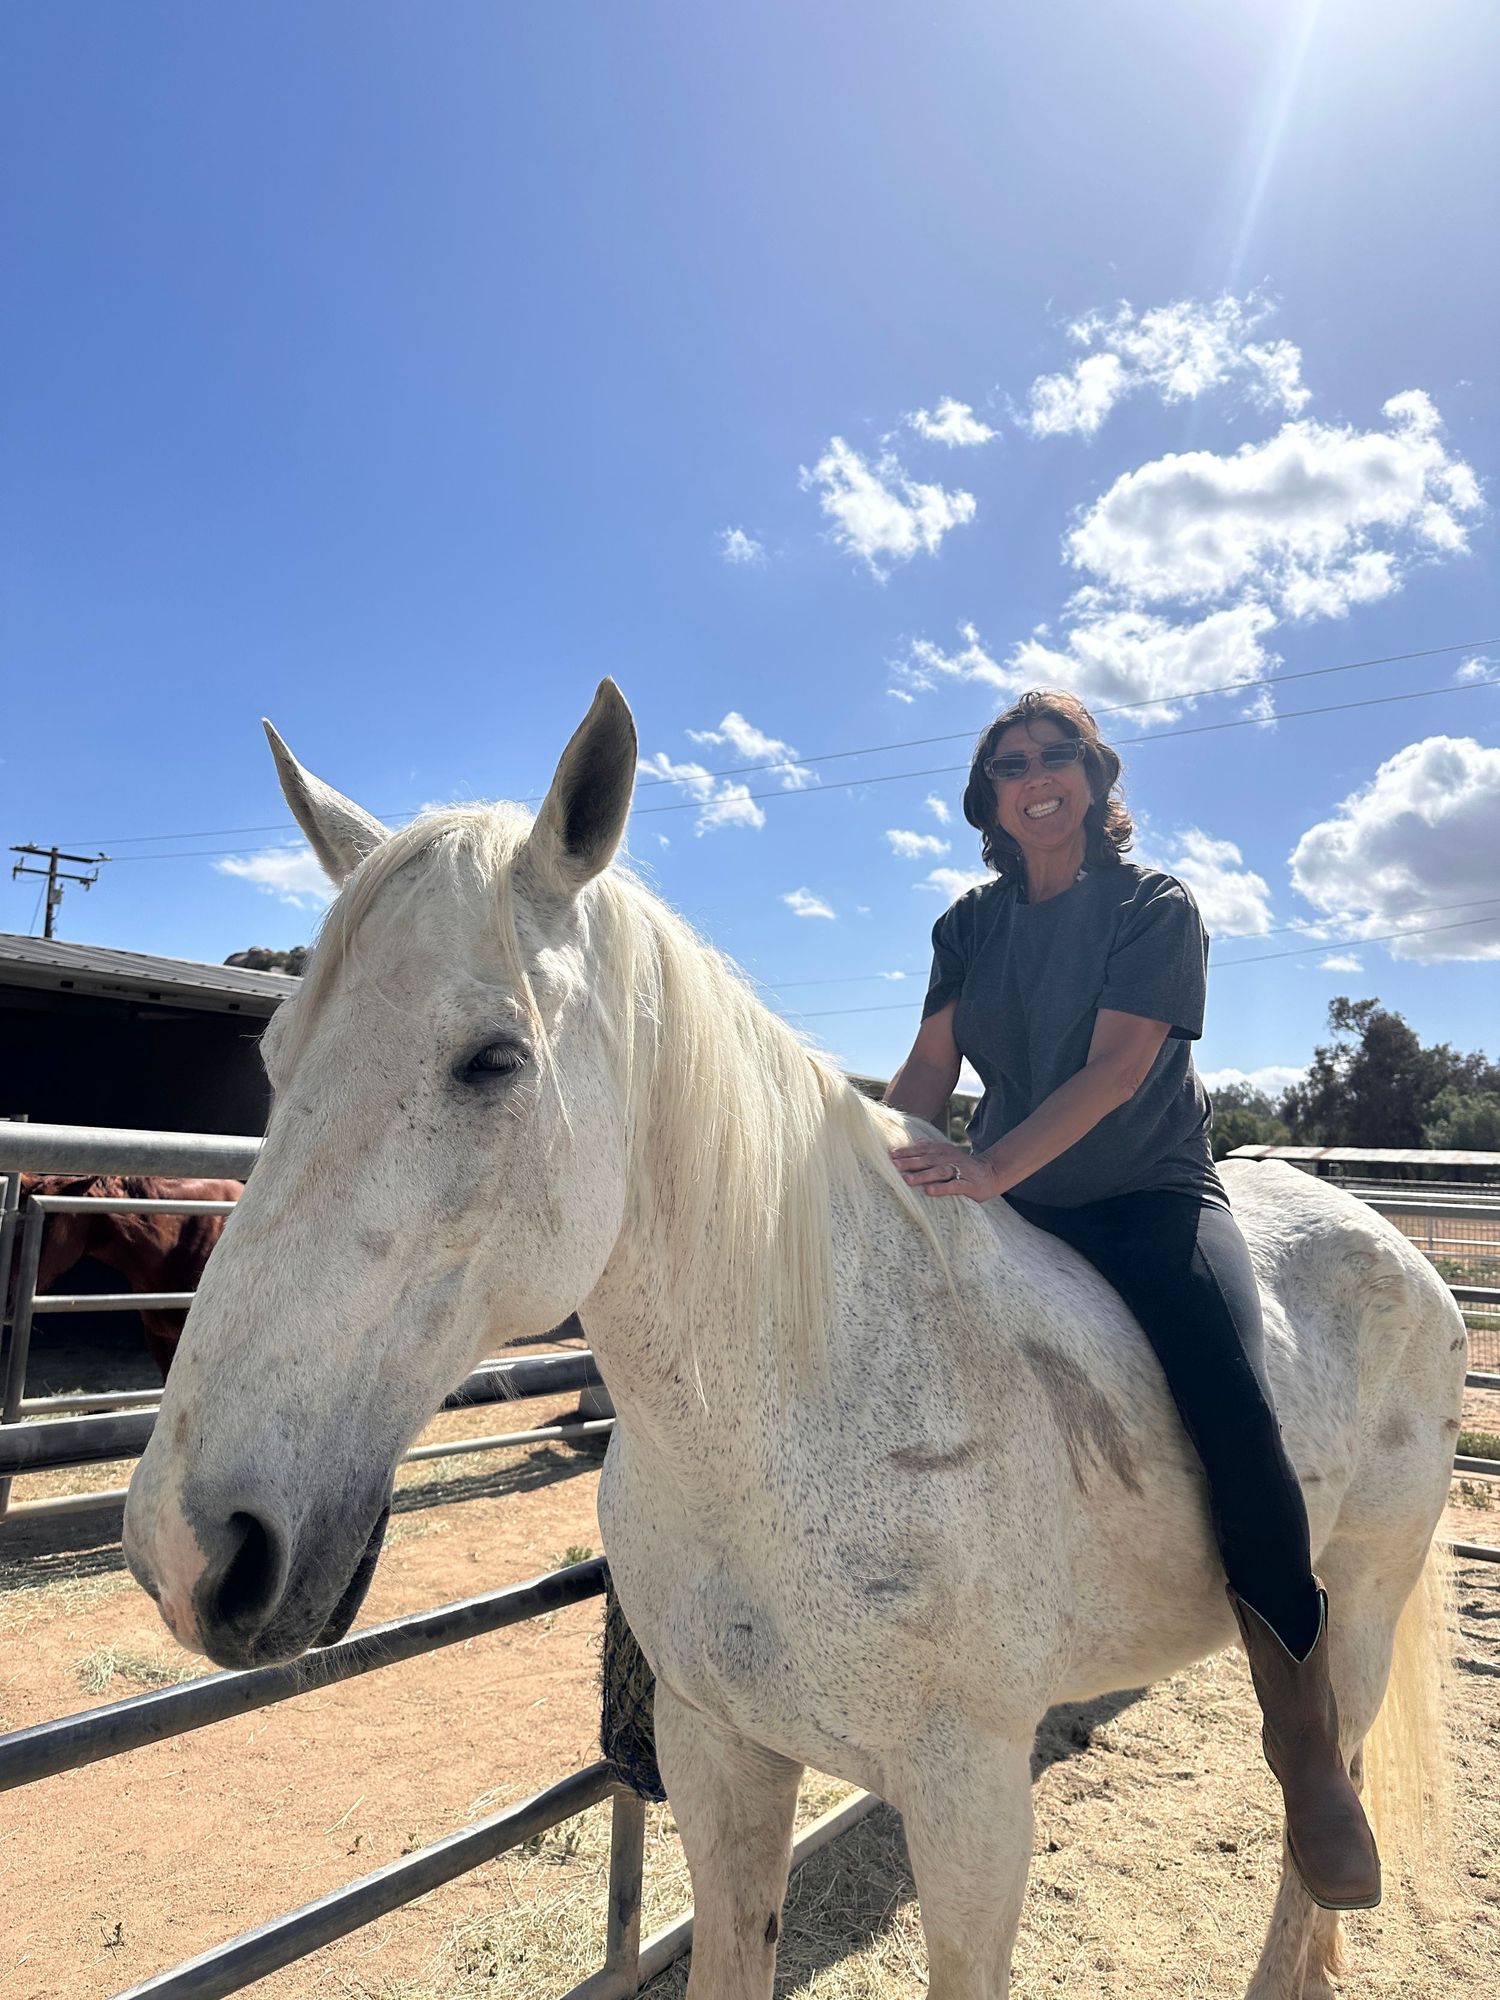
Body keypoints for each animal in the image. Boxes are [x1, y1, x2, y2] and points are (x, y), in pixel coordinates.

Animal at [122, 686, 1464, 1999]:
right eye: (273, 1055)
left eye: (492, 1058)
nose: (190, 1549)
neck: (795, 1415)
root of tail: (1406, 1255)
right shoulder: (721, 1758)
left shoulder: (973, 1808)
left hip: (1359, 1607)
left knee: (1318, 1790)